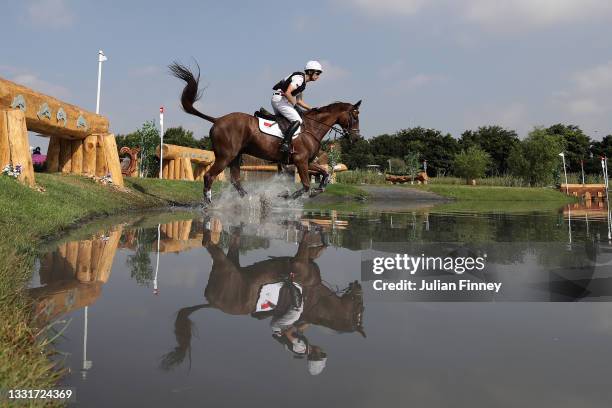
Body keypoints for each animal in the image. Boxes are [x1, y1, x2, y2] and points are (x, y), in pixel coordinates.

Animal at [167, 63, 360, 204]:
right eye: (355, 115)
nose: (356, 137)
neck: (312, 127)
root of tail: (218, 120)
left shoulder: (306, 161)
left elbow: (324, 173)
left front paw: (318, 189)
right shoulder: (300, 161)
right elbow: (305, 185)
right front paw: (286, 196)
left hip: (236, 155)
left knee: (235, 180)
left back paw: (247, 199)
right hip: (226, 155)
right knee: (209, 176)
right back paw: (210, 204)